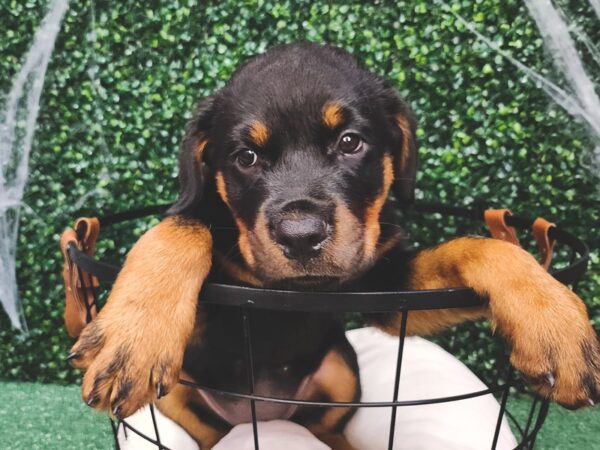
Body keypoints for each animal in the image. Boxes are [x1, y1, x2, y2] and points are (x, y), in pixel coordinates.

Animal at [70, 43, 600, 450]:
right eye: (246, 157)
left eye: (350, 143)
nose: (300, 235)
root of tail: (263, 415)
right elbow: (182, 225)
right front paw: (133, 337)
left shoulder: (386, 288)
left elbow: (476, 246)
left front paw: (553, 321)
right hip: (179, 392)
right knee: (211, 433)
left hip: (343, 369)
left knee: (327, 427)